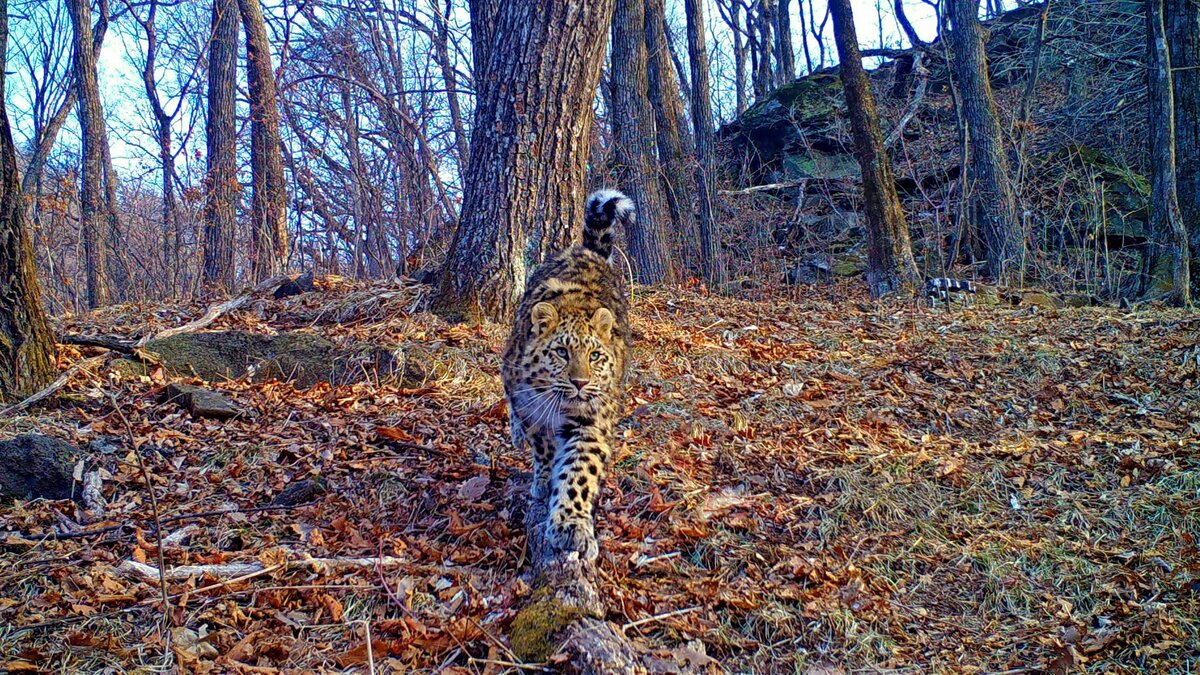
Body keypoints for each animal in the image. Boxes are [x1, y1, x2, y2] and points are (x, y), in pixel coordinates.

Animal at [501, 187, 638, 557]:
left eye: (595, 356)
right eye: (561, 352)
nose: (580, 383)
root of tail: (586, 250)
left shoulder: (591, 421)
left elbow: (578, 473)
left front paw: (571, 526)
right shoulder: (533, 409)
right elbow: (544, 450)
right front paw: (544, 480)